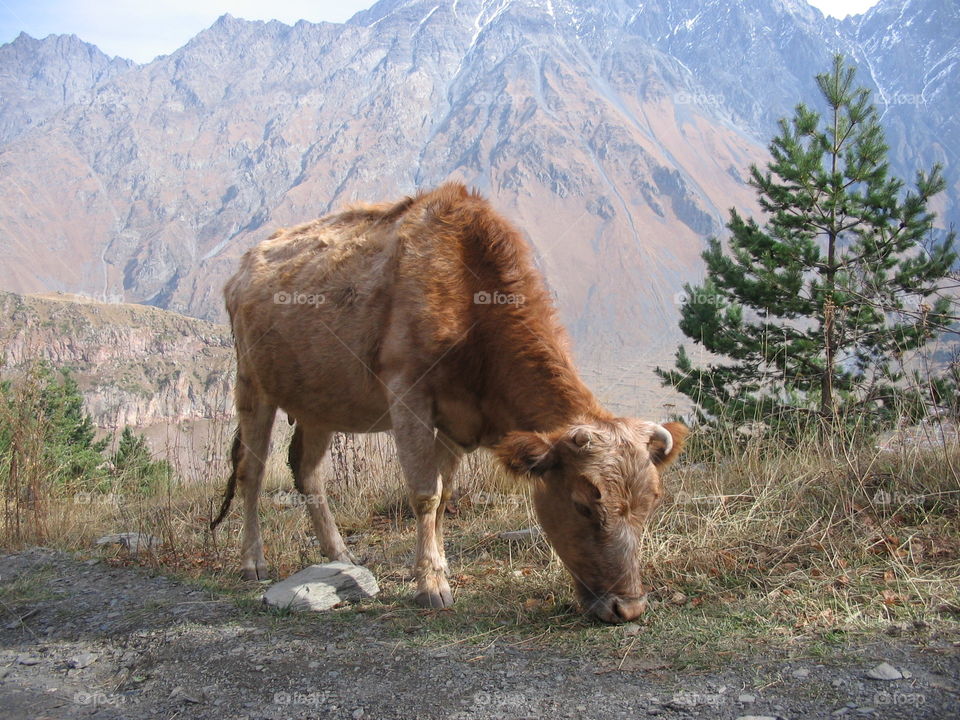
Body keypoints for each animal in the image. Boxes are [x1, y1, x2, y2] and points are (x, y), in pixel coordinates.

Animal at [213, 183, 688, 620]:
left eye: (651, 504)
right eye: (583, 505)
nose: (628, 608)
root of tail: (243, 267)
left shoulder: (460, 423)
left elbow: (444, 499)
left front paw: (437, 568)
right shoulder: (408, 395)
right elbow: (425, 493)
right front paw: (431, 586)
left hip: (318, 401)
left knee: (307, 471)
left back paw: (341, 556)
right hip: (252, 384)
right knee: (252, 472)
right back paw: (253, 561)